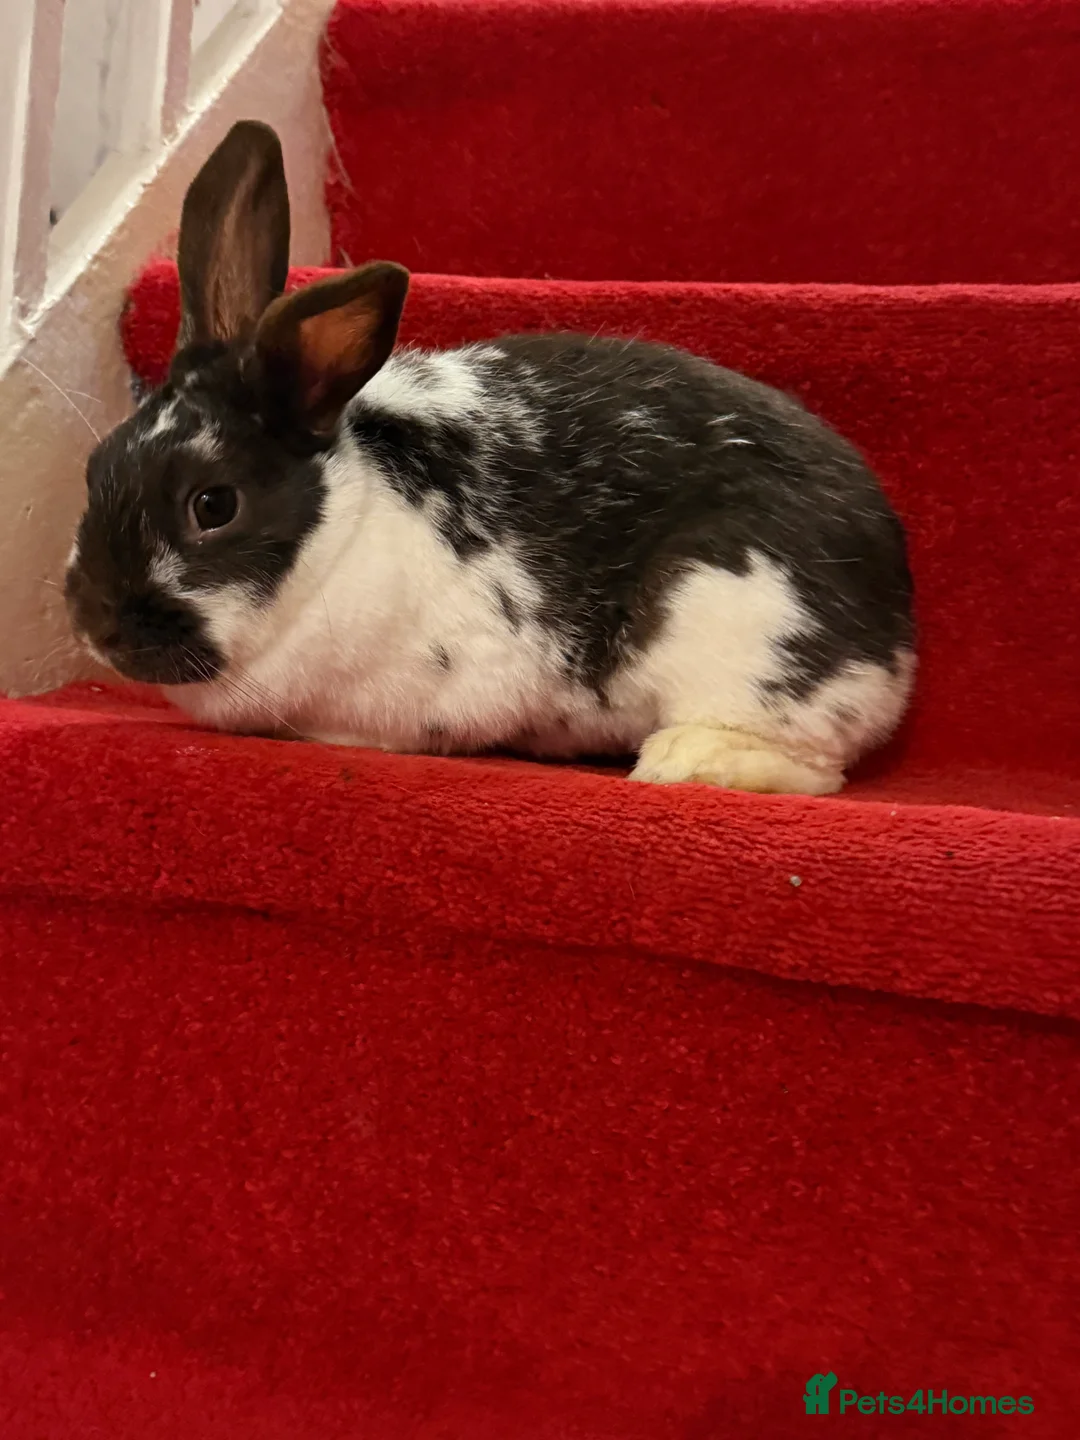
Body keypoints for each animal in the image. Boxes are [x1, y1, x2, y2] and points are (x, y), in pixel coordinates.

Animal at [65, 120, 915, 795]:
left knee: (811, 764)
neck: (338, 537)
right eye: (96, 469)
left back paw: (685, 761)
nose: (97, 621)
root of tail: (898, 629)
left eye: (213, 505)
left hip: (737, 629)